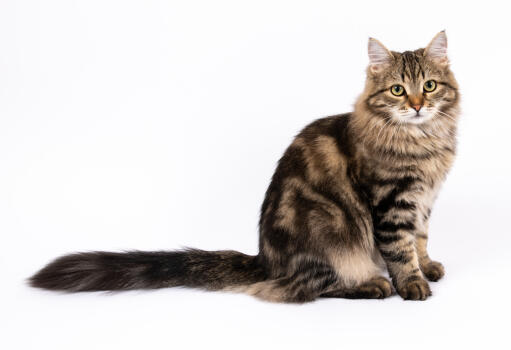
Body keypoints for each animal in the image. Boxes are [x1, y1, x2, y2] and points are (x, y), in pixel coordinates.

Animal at [29, 31, 460, 302]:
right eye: (398, 90)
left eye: (430, 86)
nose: (417, 105)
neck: (424, 141)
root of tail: (264, 260)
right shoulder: (392, 201)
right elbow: (400, 250)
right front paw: (412, 284)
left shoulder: (424, 200)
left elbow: (419, 240)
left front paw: (427, 267)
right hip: (332, 232)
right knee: (309, 288)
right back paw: (372, 285)